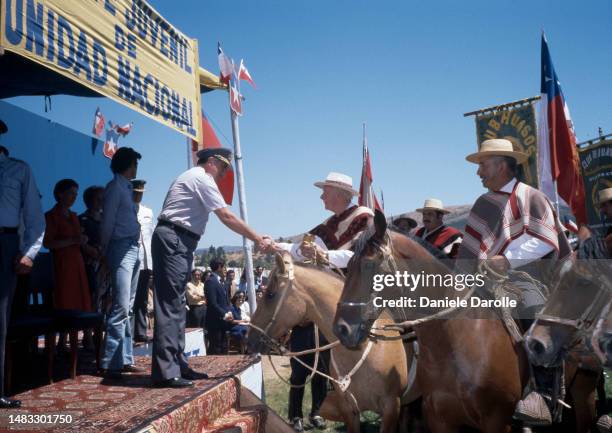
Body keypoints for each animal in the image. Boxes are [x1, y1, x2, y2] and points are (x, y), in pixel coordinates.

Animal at [334, 210, 596, 432]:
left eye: (369, 264)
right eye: (348, 266)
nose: (341, 329)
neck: (454, 343)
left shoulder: (496, 420)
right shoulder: (440, 419)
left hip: (584, 389)